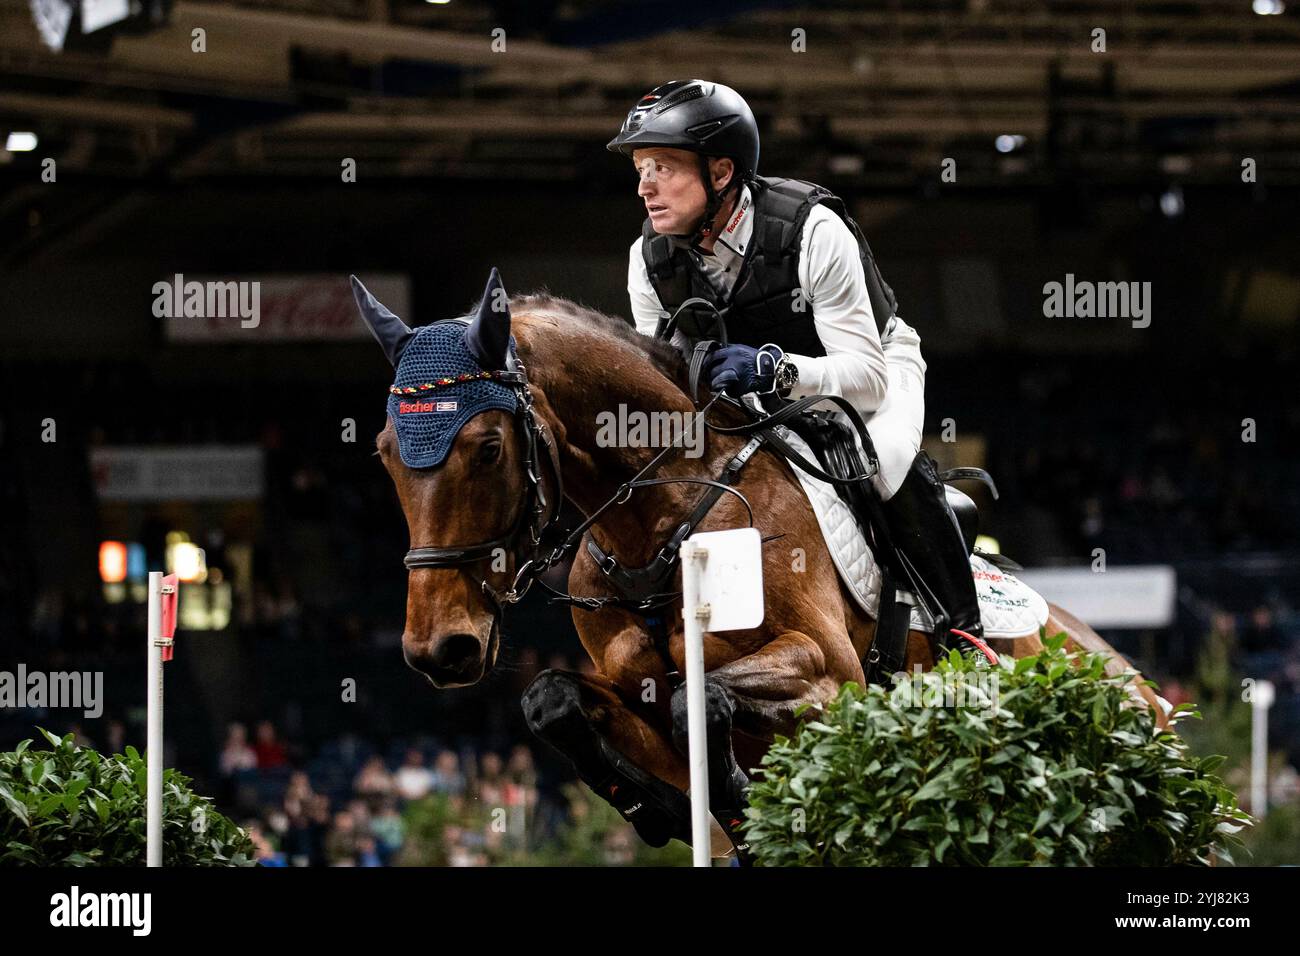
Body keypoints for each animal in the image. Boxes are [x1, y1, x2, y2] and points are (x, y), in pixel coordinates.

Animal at [356, 267, 1170, 858]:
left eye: (488, 448)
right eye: (386, 453)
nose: (439, 648)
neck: (663, 522)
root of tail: (1126, 675)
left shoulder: (832, 677)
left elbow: (704, 698)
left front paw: (742, 804)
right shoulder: (630, 689)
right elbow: (553, 700)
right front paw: (663, 809)